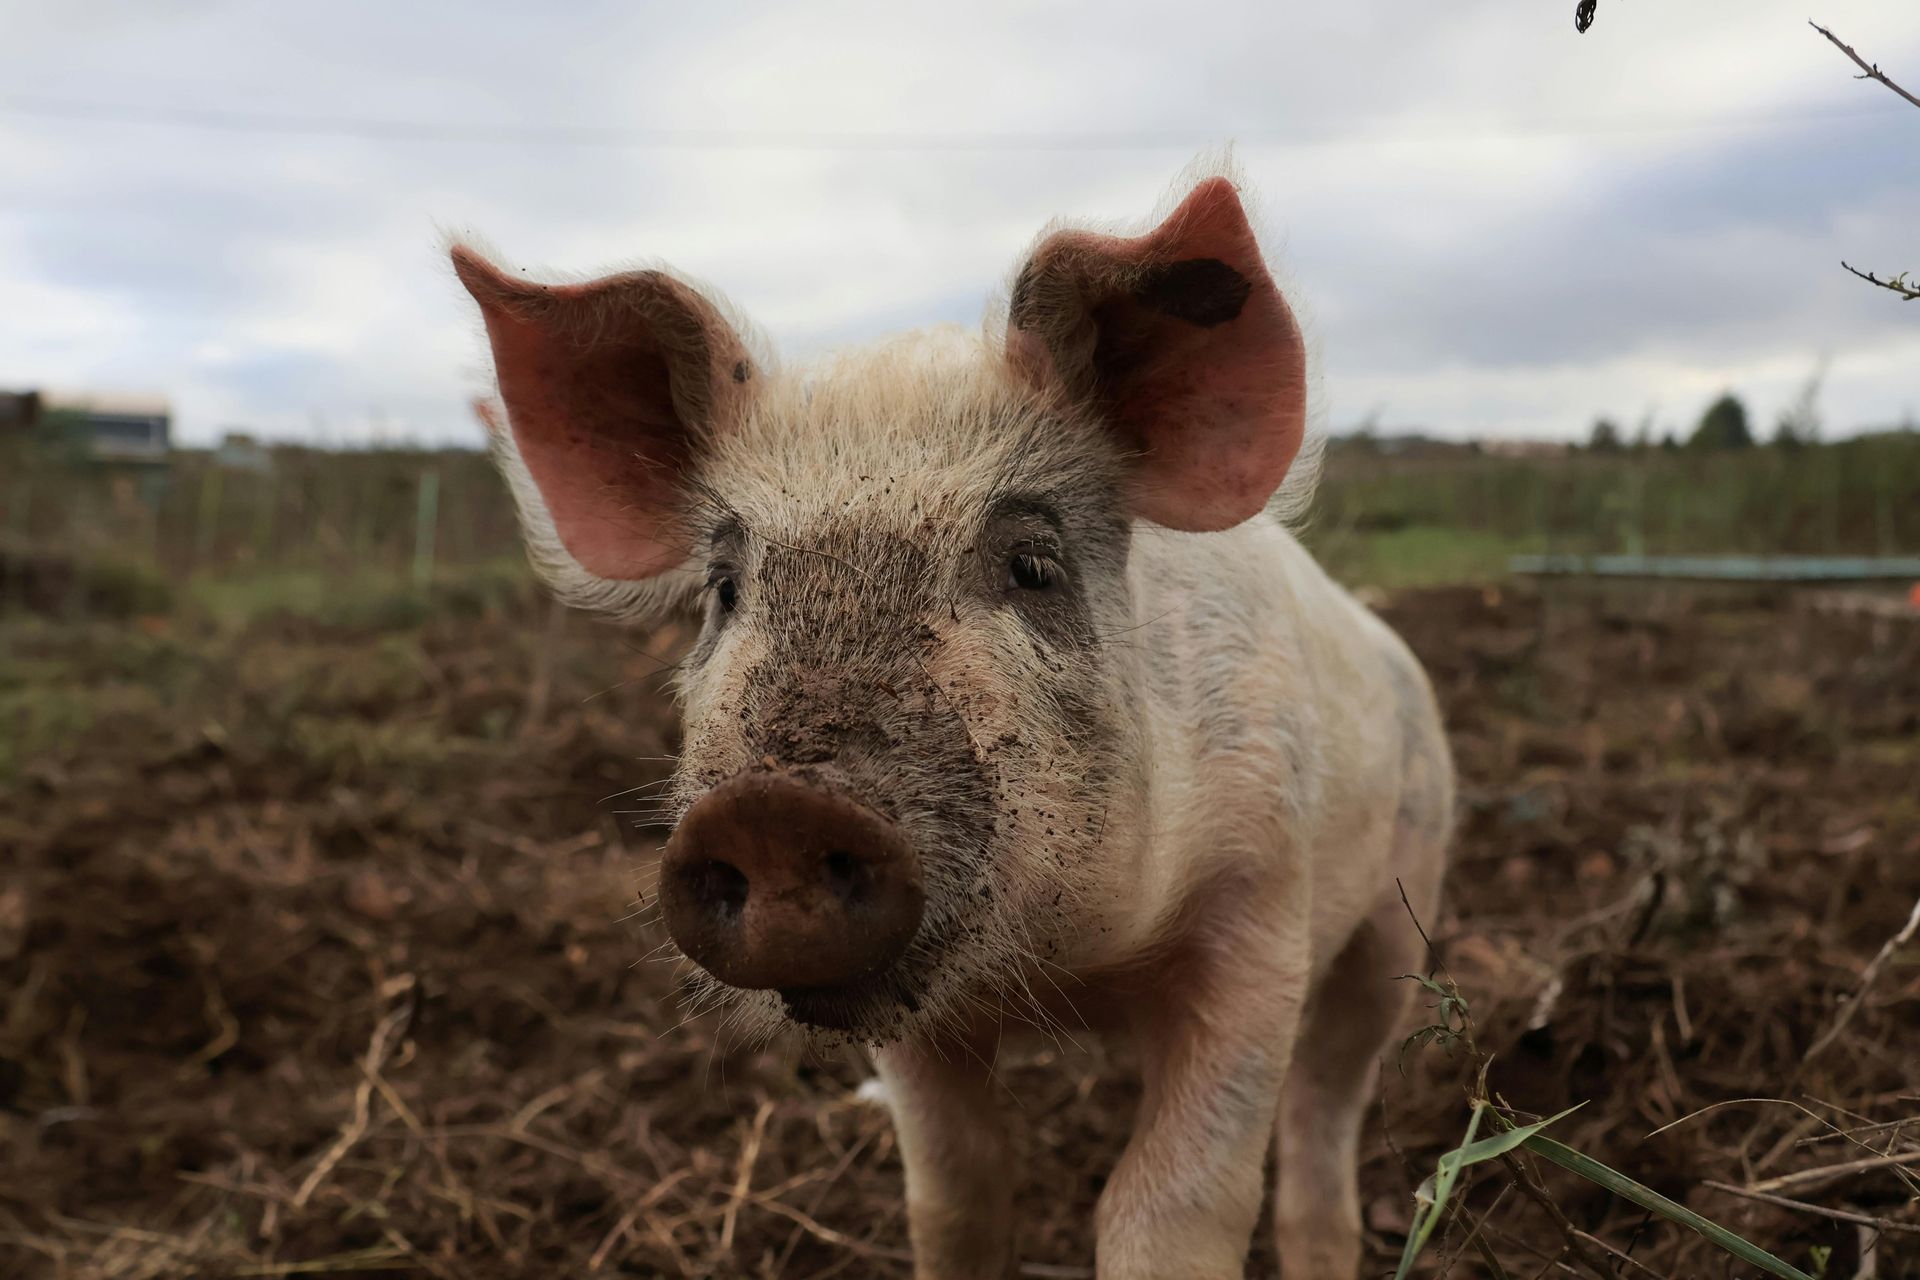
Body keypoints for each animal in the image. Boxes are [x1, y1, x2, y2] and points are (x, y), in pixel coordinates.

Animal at [451, 163, 1453, 1280]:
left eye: (1032, 566)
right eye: (723, 588)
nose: (774, 809)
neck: (1072, 970)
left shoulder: (1260, 899)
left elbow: (1169, 1199)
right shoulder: (908, 1020)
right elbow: (954, 1187)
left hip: (1404, 899)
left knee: (1329, 1101)